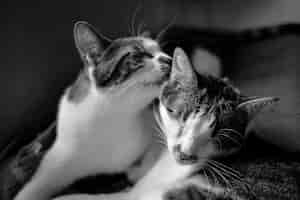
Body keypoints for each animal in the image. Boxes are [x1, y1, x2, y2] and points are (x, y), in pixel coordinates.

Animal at [1, 21, 171, 200]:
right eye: (138, 55)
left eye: (163, 51)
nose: (169, 59)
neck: (115, 113)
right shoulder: (59, 158)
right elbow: (31, 189)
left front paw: (138, 171)